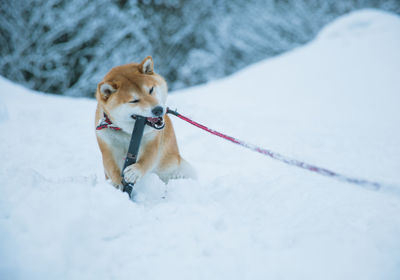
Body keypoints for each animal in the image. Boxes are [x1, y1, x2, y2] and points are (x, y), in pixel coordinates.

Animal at [94, 55, 194, 189]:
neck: (128, 133)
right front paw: (117, 184)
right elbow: (110, 166)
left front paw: (135, 171)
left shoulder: (152, 140)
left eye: (151, 90)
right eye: (134, 100)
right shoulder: (107, 145)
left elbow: (147, 158)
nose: (158, 110)